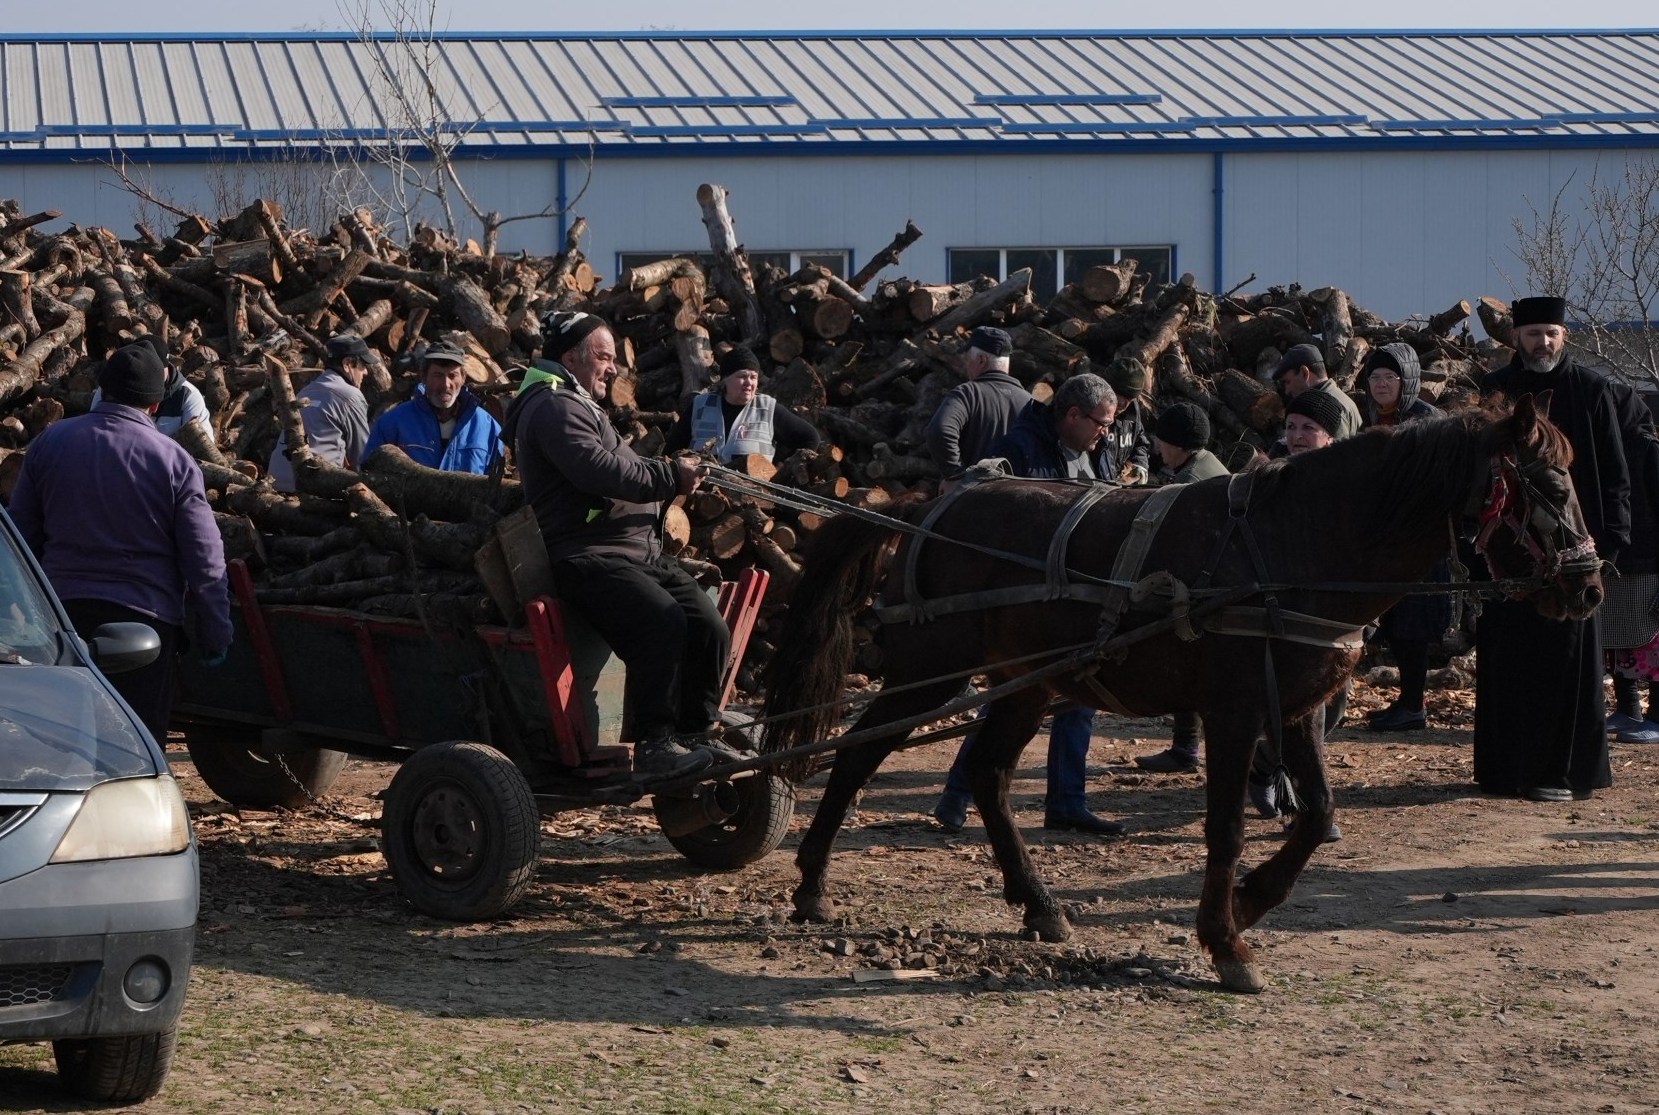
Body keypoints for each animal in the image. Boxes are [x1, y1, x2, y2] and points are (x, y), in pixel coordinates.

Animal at [763, 394, 1605, 995]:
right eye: (1548, 483)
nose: (1589, 586)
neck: (1296, 542)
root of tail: (928, 504)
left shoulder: (1295, 709)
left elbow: (1316, 814)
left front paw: (1251, 899)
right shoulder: (1233, 713)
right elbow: (1225, 827)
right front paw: (1225, 939)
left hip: (1026, 684)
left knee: (990, 774)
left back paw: (1037, 902)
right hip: (931, 671)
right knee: (858, 756)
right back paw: (811, 885)